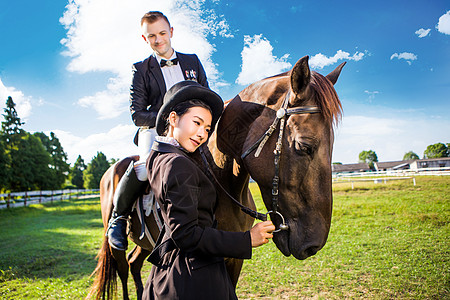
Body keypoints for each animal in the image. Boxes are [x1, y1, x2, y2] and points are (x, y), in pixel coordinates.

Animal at [87, 55, 344, 298]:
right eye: (304, 147)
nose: (313, 245)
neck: (224, 183)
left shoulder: (235, 256)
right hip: (116, 245)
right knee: (123, 268)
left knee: (134, 262)